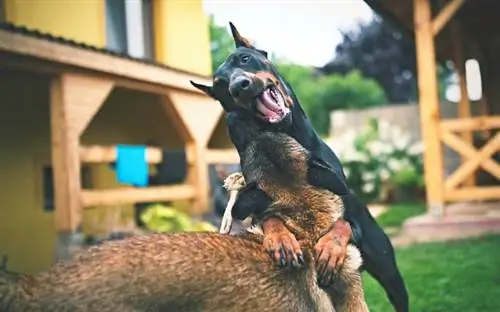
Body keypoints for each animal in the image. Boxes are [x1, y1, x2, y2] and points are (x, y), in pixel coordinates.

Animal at [189, 22, 408, 312]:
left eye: (244, 59)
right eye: (220, 85)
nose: (239, 86)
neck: (287, 130)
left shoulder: (345, 205)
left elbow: (343, 223)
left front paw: (330, 247)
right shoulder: (257, 199)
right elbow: (269, 217)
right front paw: (281, 238)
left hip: (390, 273)